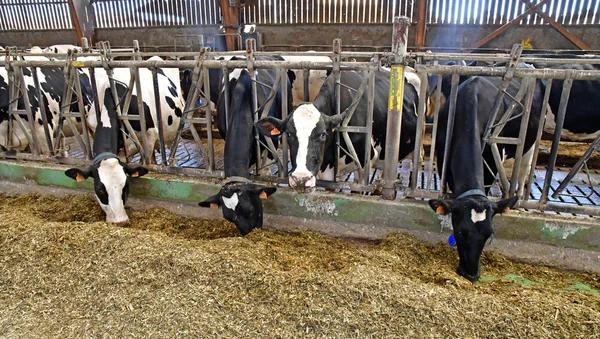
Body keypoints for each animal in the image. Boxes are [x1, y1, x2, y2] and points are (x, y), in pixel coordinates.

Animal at [426, 73, 544, 282]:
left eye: (490, 235)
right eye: (460, 231)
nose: (471, 274)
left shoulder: (490, 165)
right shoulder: (443, 161)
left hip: (530, 144)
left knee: (523, 171)